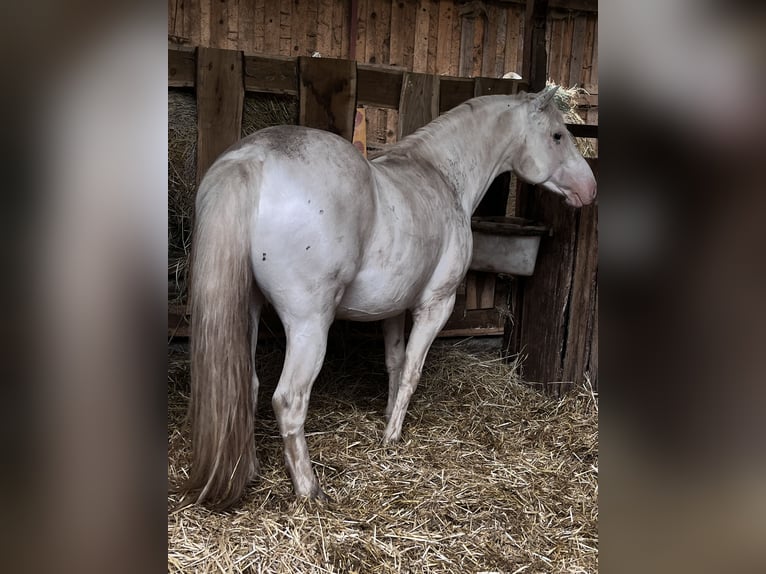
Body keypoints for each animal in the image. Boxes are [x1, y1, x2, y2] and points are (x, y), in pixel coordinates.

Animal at [182, 86, 600, 512]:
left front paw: (386, 418)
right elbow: (412, 370)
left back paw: (248, 470)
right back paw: (310, 490)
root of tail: (252, 158)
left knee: (246, 387)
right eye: (558, 136)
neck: (441, 175)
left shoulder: (392, 308)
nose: (589, 189)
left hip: (248, 310)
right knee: (288, 400)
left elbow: (395, 364)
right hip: (308, 325)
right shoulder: (436, 305)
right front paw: (392, 436)